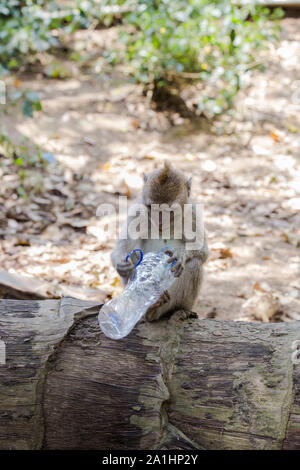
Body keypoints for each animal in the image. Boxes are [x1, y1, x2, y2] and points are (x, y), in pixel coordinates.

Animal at [110, 162, 209, 324]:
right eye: (151, 207)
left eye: (170, 210)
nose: (160, 222)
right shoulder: (137, 210)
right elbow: (123, 247)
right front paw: (121, 264)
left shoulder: (193, 213)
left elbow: (203, 251)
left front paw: (180, 254)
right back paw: (148, 308)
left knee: (194, 264)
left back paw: (174, 310)